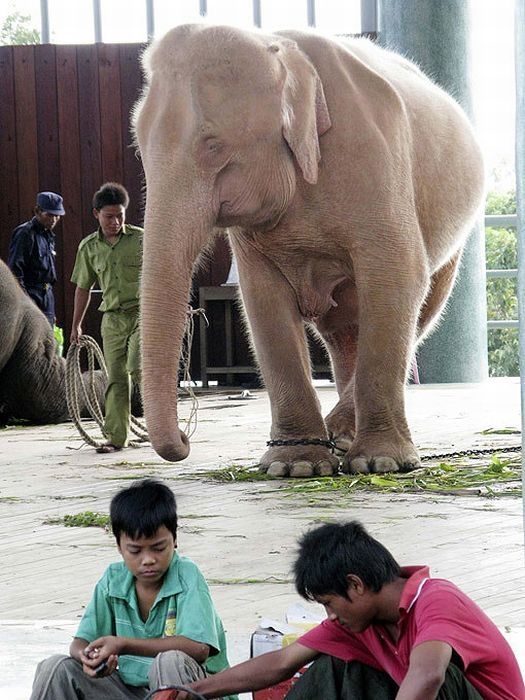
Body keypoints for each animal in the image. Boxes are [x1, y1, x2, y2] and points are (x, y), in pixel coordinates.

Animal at [134, 26, 484, 476]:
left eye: (212, 145)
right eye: (139, 148)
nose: (184, 438)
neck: (280, 53)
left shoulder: (375, 157)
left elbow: (397, 276)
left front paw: (380, 463)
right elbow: (263, 301)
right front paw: (295, 465)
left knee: (421, 306)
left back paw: (348, 437)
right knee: (344, 328)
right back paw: (340, 435)